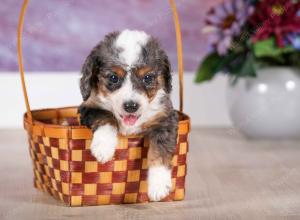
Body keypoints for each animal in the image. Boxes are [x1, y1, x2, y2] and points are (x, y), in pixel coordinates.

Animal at [79, 29, 178, 201]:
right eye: (113, 77)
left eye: (148, 78)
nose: (131, 106)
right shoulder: (89, 107)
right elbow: (107, 116)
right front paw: (103, 147)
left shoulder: (165, 119)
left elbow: (160, 150)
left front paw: (158, 185)